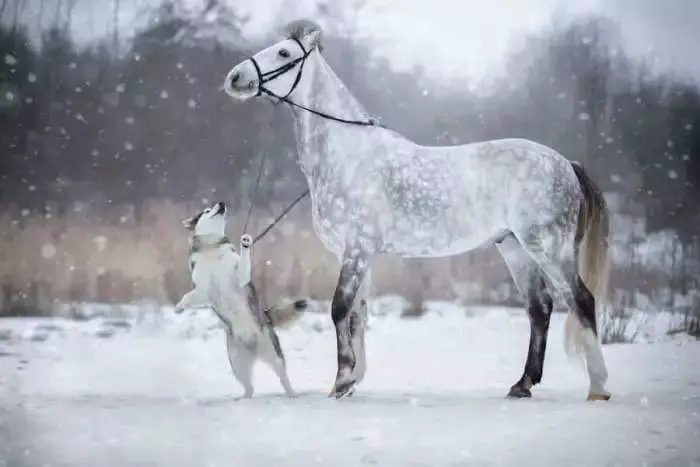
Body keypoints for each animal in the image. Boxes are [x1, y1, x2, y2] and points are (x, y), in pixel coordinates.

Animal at [174, 201, 308, 398]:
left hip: (272, 352)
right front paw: (179, 306)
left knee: (282, 375)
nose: (221, 203)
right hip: (237, 364)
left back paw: (292, 393)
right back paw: (244, 398)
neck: (211, 248)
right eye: (207, 210)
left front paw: (245, 243)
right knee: (249, 386)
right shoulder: (203, 290)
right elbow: (190, 296)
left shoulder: (239, 277)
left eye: (213, 206)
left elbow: (243, 266)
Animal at [221, 19, 608, 402]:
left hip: (548, 247)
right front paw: (353, 380)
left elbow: (340, 309)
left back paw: (598, 388)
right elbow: (358, 313)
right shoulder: (355, 254)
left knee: (582, 300)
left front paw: (341, 382)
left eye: (284, 53)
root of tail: (566, 163)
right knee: (540, 307)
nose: (235, 78)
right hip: (514, 247)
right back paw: (522, 384)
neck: (348, 155)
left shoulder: (357, 249)